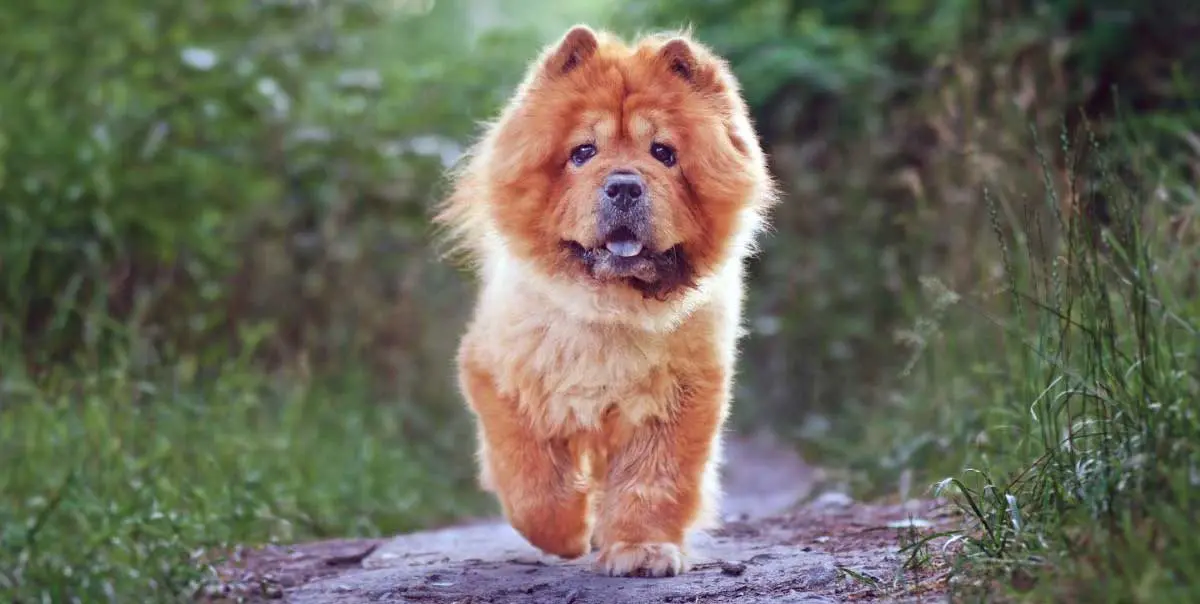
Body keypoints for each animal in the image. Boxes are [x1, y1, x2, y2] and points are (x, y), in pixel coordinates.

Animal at [432, 23, 777, 578]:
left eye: (663, 153)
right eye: (582, 153)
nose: (624, 186)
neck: (611, 309)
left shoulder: (678, 396)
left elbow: (653, 480)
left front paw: (640, 551)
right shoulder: (498, 375)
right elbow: (531, 482)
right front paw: (568, 532)